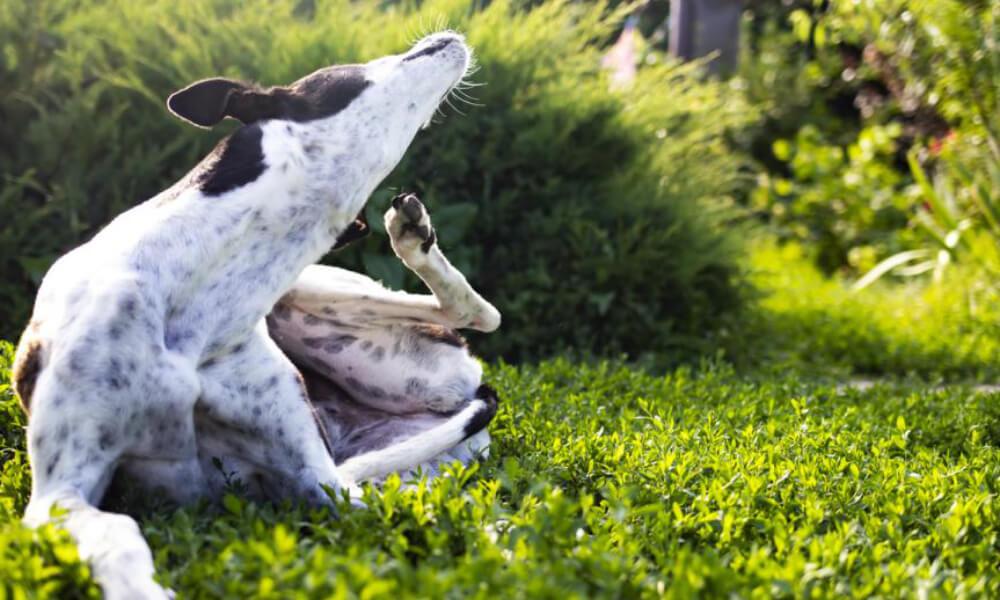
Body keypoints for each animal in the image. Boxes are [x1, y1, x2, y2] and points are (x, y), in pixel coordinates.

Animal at [9, 34, 500, 600]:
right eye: (352, 69)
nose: (450, 38)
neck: (201, 307)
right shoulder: (60, 490)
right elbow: (120, 531)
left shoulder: (320, 481)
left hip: (333, 314)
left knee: (478, 314)